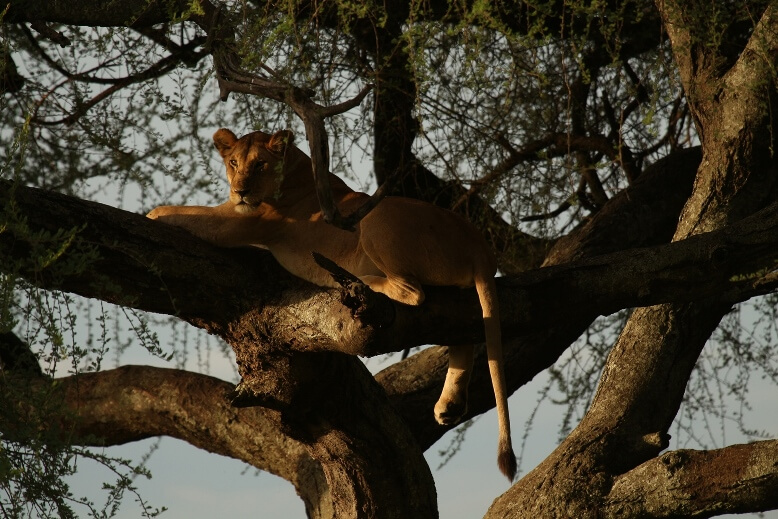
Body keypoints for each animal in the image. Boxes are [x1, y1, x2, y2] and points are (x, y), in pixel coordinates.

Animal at [147, 128, 517, 481]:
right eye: (234, 163)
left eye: (260, 164)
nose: (240, 191)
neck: (293, 171)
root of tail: (479, 244)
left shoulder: (240, 221)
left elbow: (188, 213)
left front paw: (152, 212)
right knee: (461, 333)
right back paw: (449, 405)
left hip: (377, 217)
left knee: (413, 292)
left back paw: (356, 279)